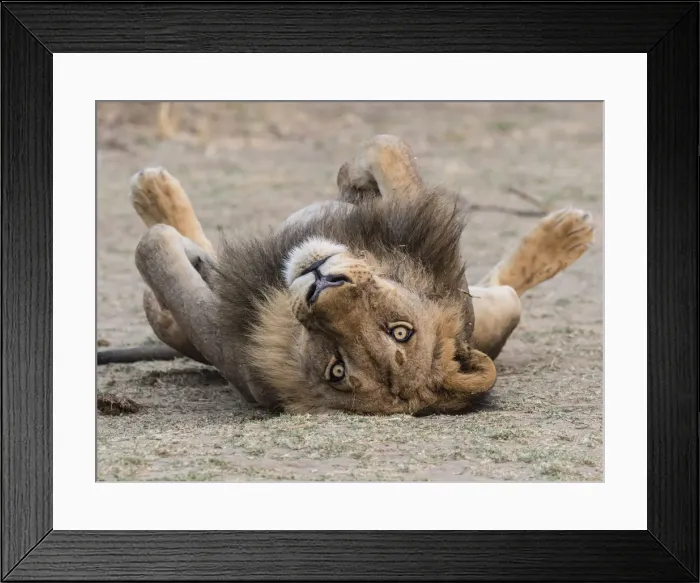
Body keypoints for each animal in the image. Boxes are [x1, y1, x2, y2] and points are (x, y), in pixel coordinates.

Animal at [102, 135, 594, 415]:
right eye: (401, 331)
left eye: (337, 370)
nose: (323, 283)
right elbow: (388, 149)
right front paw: (354, 181)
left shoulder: (225, 342)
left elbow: (154, 249)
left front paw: (176, 238)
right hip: (493, 307)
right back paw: (570, 229)